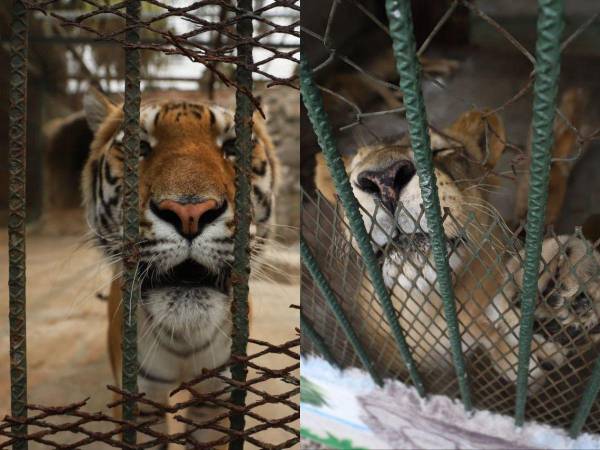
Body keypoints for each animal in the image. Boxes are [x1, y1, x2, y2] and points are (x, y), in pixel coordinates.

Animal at [81, 87, 278, 446]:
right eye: (139, 147)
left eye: (233, 147)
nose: (190, 213)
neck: (185, 339)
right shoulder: (139, 399)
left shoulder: (216, 396)